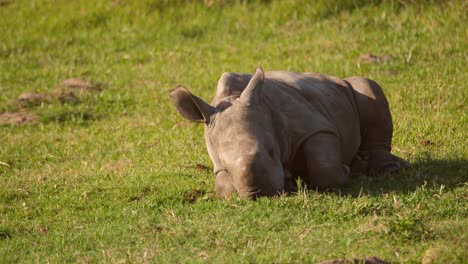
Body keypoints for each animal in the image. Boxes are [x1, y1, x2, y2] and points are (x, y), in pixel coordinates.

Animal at [170, 68, 408, 198]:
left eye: (272, 151)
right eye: (226, 167)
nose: (258, 193)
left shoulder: (314, 125)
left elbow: (324, 164)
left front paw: (347, 170)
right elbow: (224, 189)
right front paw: (288, 180)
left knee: (366, 85)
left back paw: (384, 168)